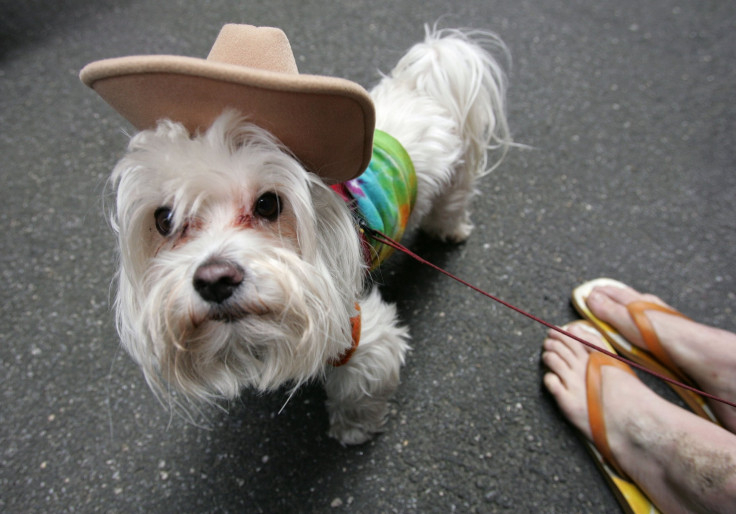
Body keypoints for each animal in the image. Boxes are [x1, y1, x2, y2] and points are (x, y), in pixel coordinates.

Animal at [83, 24, 508, 442]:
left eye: (268, 204)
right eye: (165, 219)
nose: (215, 280)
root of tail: (421, 82)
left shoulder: (362, 332)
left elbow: (359, 390)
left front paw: (353, 429)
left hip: (454, 180)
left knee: (453, 203)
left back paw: (449, 230)